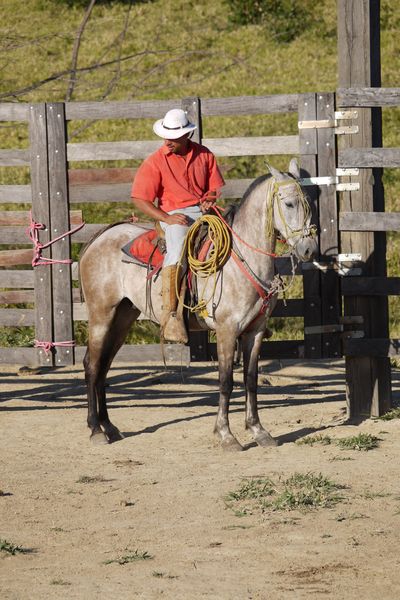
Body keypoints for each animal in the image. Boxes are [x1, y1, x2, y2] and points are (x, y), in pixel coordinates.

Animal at [79, 159, 318, 450]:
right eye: (290, 204)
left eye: (309, 203)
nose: (309, 249)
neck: (240, 258)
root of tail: (101, 236)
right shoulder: (227, 330)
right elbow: (226, 381)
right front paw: (226, 434)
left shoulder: (255, 331)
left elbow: (250, 380)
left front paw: (258, 430)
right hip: (101, 315)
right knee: (92, 365)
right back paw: (95, 429)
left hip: (123, 317)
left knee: (103, 366)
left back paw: (109, 426)